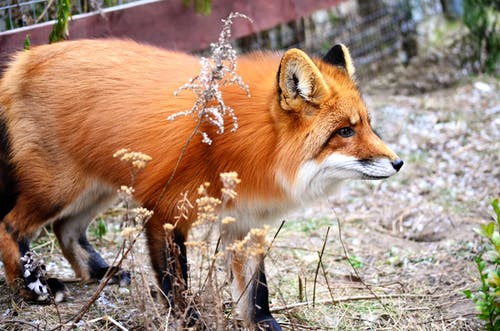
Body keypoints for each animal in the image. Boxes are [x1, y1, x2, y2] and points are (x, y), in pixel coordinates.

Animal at [0, 40, 398, 330]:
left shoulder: (246, 222)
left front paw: (263, 323)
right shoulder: (164, 209)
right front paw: (187, 319)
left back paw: (99, 273)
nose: (398, 163)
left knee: (66, 230)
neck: (236, 139)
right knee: (11, 226)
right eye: (344, 132)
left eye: (367, 124)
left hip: (98, 189)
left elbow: (256, 293)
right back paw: (34, 288)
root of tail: (24, 58)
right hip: (59, 189)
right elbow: (176, 281)